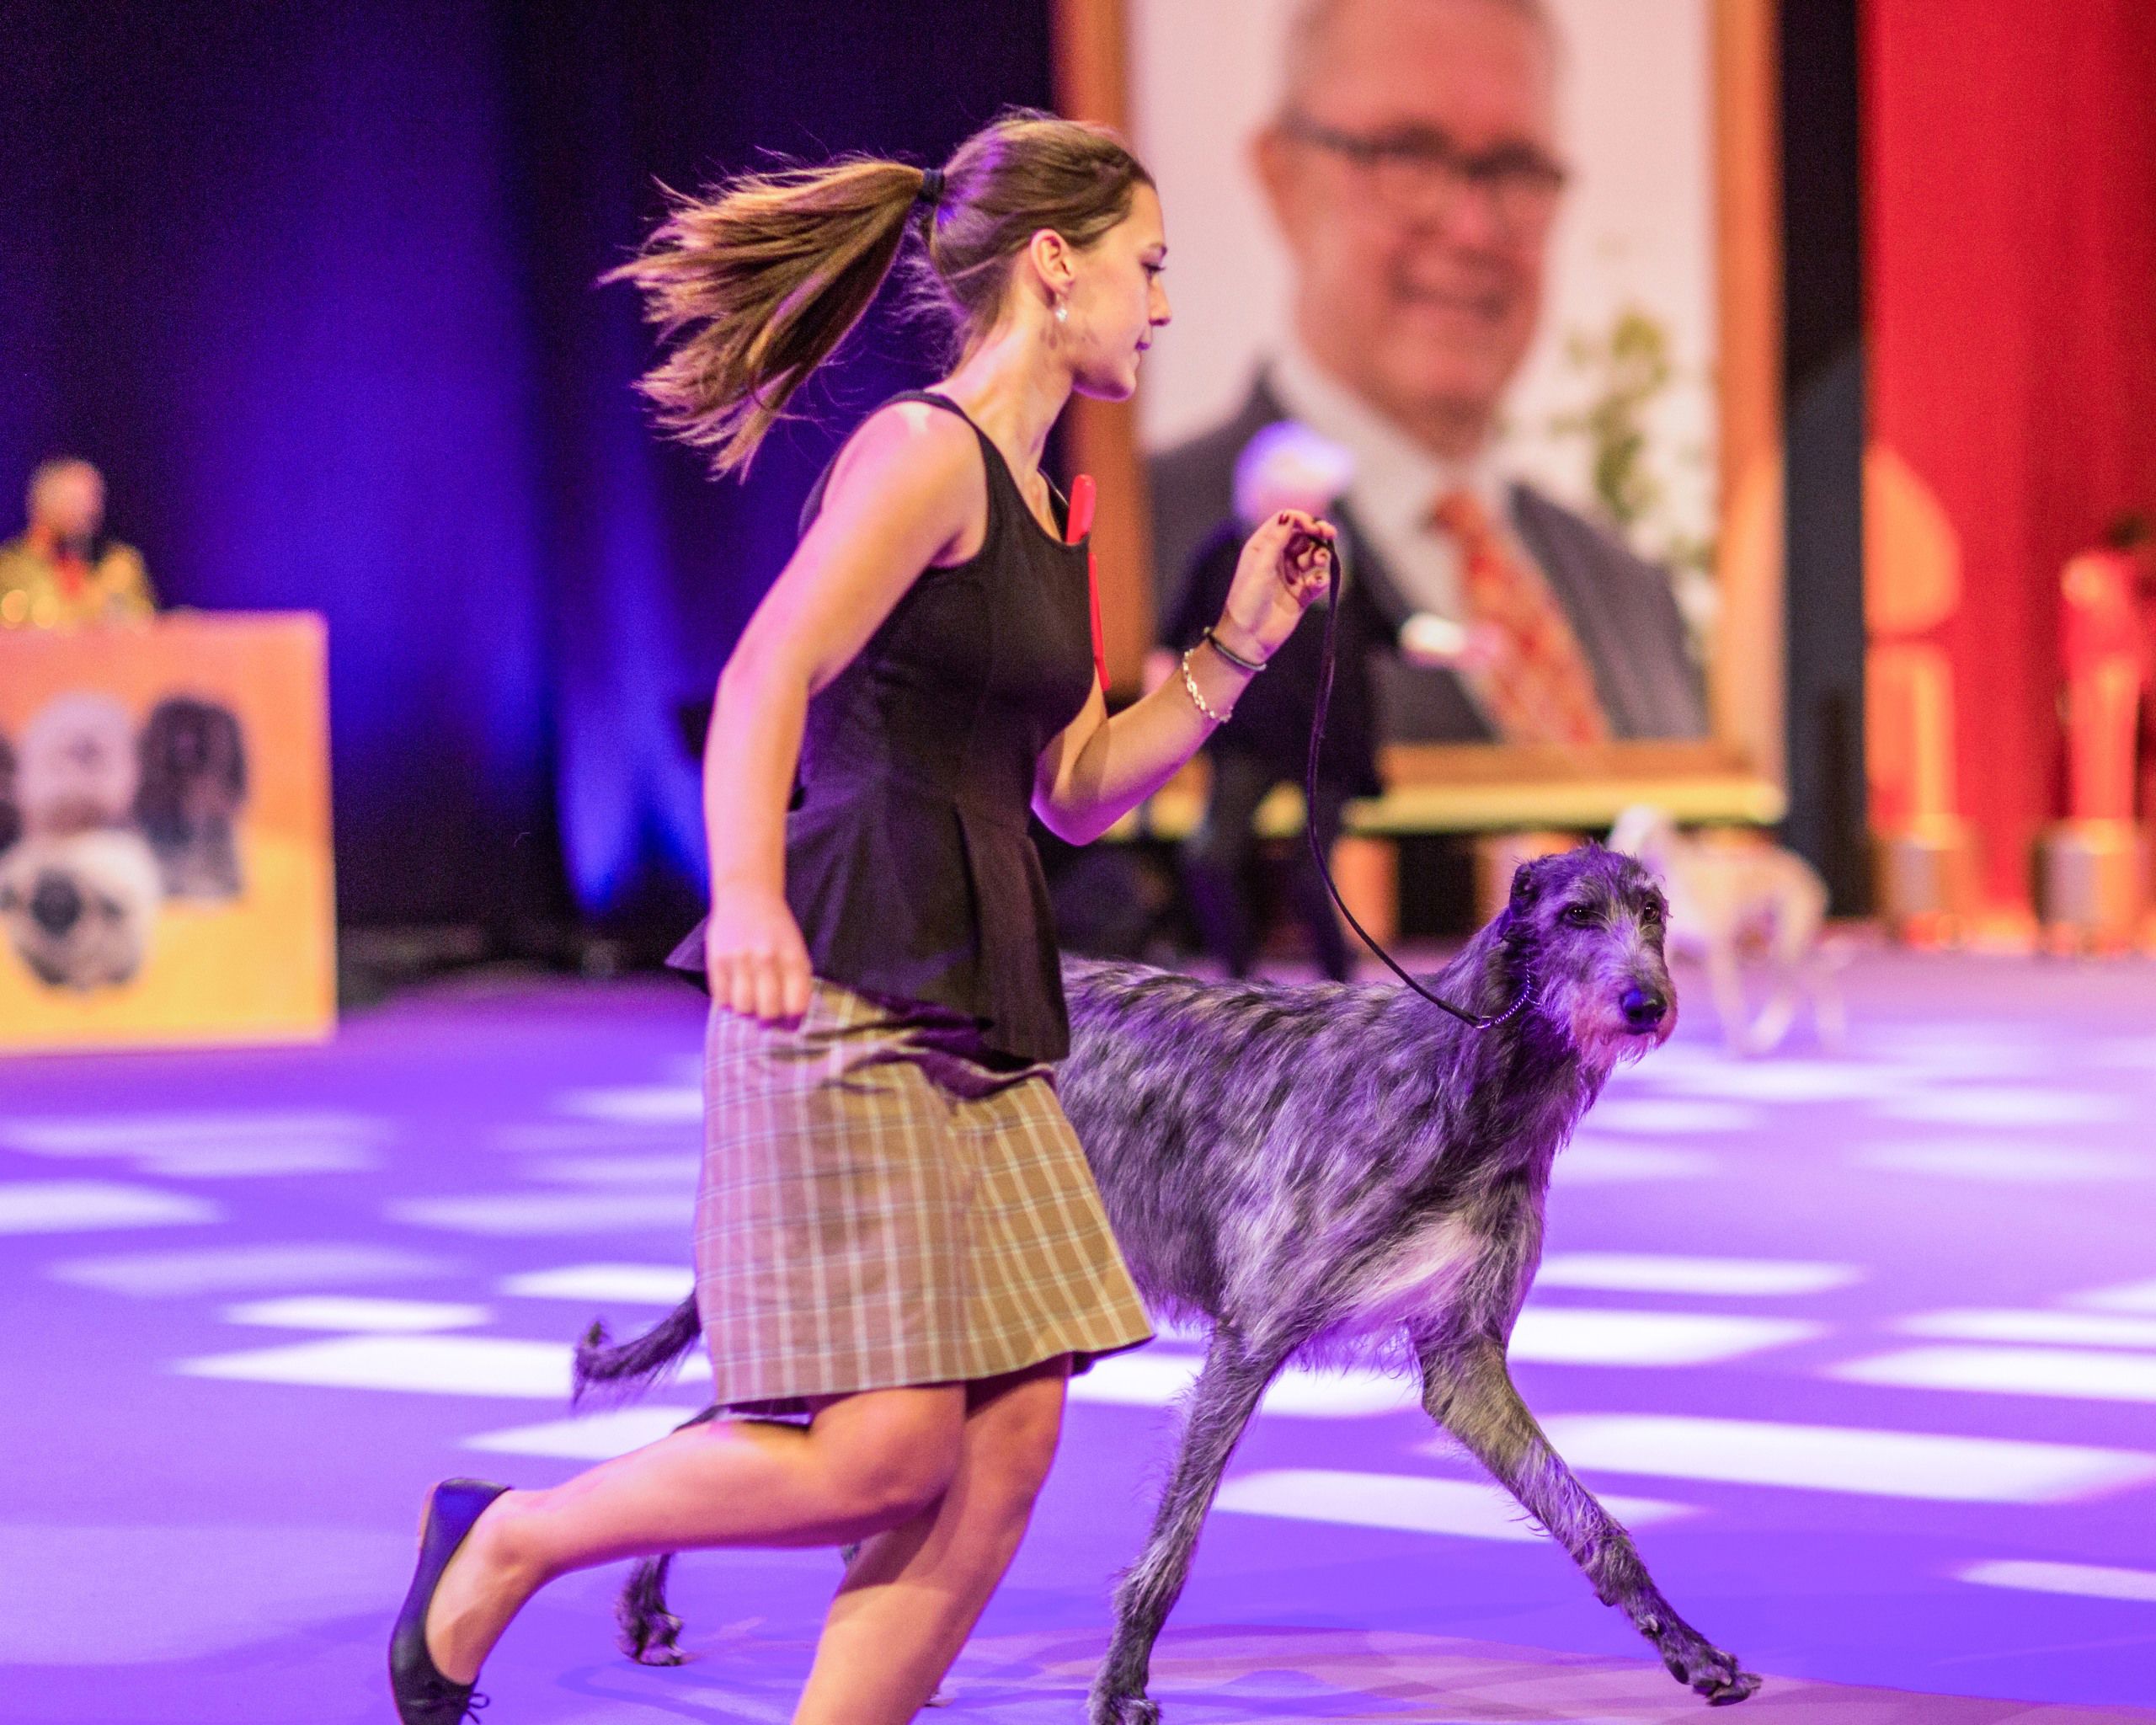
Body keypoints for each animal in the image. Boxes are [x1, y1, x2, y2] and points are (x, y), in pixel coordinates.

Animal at [582, 849, 1758, 1707]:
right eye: (1574, 914)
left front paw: (1690, 1649)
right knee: (725, 1427)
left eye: (1653, 912)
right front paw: (1117, 1687)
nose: (1648, 1002)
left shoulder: (1460, 1357)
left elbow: (1588, 1518)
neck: (1464, 1079)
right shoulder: (1251, 1336)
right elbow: (1172, 1546)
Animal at [1612, 802, 1845, 1056]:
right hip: (1781, 945)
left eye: (1647, 829)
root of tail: (1808, 874)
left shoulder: (1719, 953)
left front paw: (1737, 1044)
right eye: (1622, 824)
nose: (1616, 844)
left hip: (1787, 948)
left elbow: (1728, 1002)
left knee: (1802, 987)